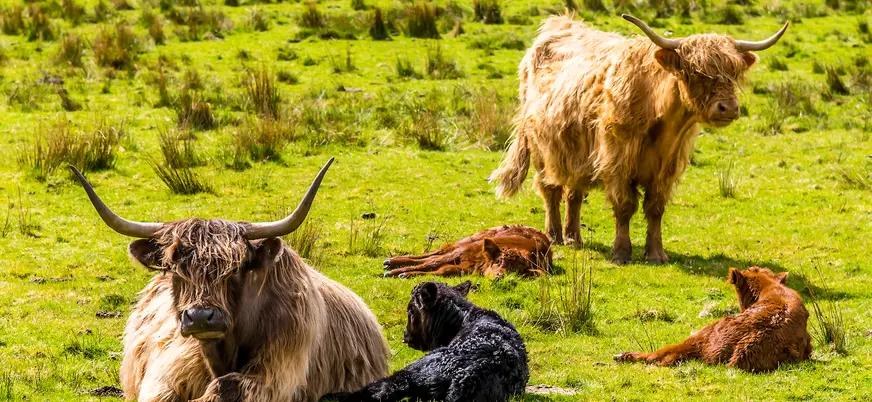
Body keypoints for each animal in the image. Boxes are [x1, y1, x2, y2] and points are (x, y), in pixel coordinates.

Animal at [69, 159, 390, 402]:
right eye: (175, 269)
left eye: (235, 269)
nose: (201, 317)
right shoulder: (165, 375)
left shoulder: (280, 371)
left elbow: (227, 387)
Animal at [324, 281, 529, 402]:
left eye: (410, 310)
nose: (405, 336)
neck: (465, 318)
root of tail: (467, 377)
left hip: (415, 371)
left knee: (382, 389)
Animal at [382, 225, 552, 278]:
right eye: (498, 261)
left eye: (517, 271)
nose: (500, 276)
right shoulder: (463, 252)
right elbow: (431, 263)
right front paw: (396, 272)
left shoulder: (464, 267)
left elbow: (443, 270)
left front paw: (405, 274)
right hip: (466, 241)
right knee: (434, 254)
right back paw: (391, 261)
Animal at [490, 14, 789, 264]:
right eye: (695, 72)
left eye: (734, 72)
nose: (728, 108)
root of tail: (559, 23)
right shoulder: (618, 161)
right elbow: (625, 206)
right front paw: (622, 252)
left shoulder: (667, 168)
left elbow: (655, 208)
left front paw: (656, 253)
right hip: (543, 149)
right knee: (550, 190)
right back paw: (554, 236)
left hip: (578, 154)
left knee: (574, 193)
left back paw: (574, 237)